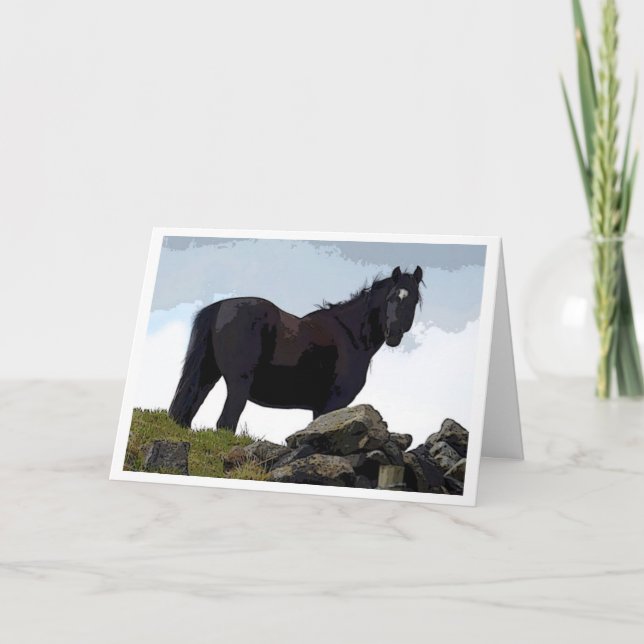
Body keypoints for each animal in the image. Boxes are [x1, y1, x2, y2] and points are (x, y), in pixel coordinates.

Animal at [168, 266, 424, 432]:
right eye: (391, 298)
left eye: (413, 301)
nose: (393, 334)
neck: (351, 335)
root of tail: (220, 307)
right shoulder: (332, 404)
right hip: (237, 384)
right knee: (225, 424)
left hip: (206, 376)